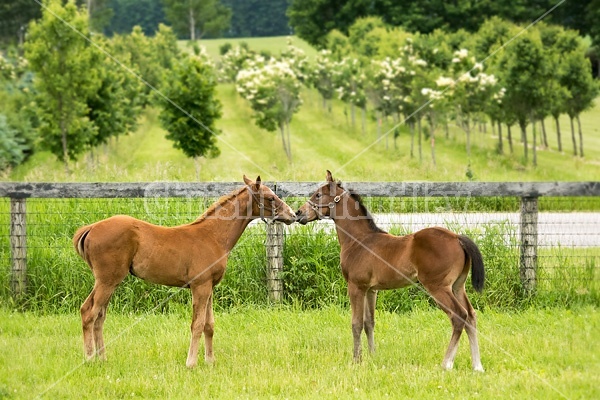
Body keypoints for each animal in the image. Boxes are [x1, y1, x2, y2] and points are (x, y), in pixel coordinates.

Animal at [298, 170, 486, 370]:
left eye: (318, 195)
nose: (298, 213)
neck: (359, 240)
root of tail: (457, 238)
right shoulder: (371, 290)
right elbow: (369, 322)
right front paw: (373, 356)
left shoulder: (356, 287)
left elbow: (356, 324)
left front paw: (357, 360)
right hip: (458, 286)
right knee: (471, 316)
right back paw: (477, 365)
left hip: (438, 287)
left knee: (459, 316)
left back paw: (447, 363)